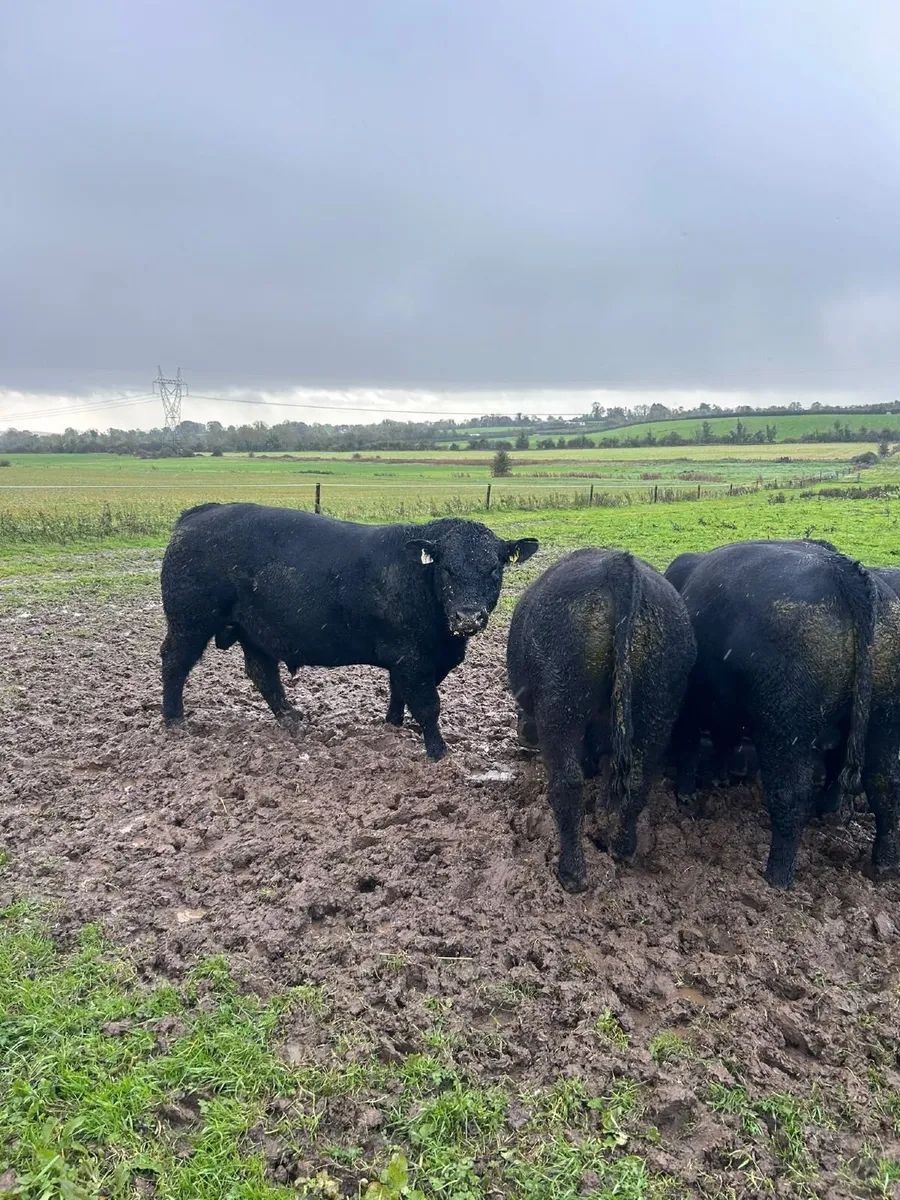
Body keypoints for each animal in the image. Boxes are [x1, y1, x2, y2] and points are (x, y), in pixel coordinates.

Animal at [160, 503, 538, 759]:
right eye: (446, 568)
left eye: (494, 569)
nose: (467, 616)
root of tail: (200, 513)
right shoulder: (412, 657)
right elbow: (428, 704)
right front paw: (438, 751)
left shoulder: (412, 660)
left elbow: (399, 693)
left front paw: (392, 725)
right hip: (190, 622)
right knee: (173, 661)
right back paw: (174, 719)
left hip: (253, 630)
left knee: (262, 673)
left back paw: (292, 719)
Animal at [507, 549, 696, 892]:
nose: (523, 734)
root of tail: (619, 566)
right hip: (658, 706)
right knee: (636, 782)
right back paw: (621, 848)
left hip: (561, 707)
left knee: (568, 784)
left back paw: (572, 873)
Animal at [667, 539, 900, 887]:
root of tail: (846, 573)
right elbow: (724, 740)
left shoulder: (693, 705)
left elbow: (689, 747)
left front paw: (686, 796)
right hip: (883, 723)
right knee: (884, 785)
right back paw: (881, 865)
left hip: (786, 728)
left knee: (791, 796)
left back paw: (776, 876)